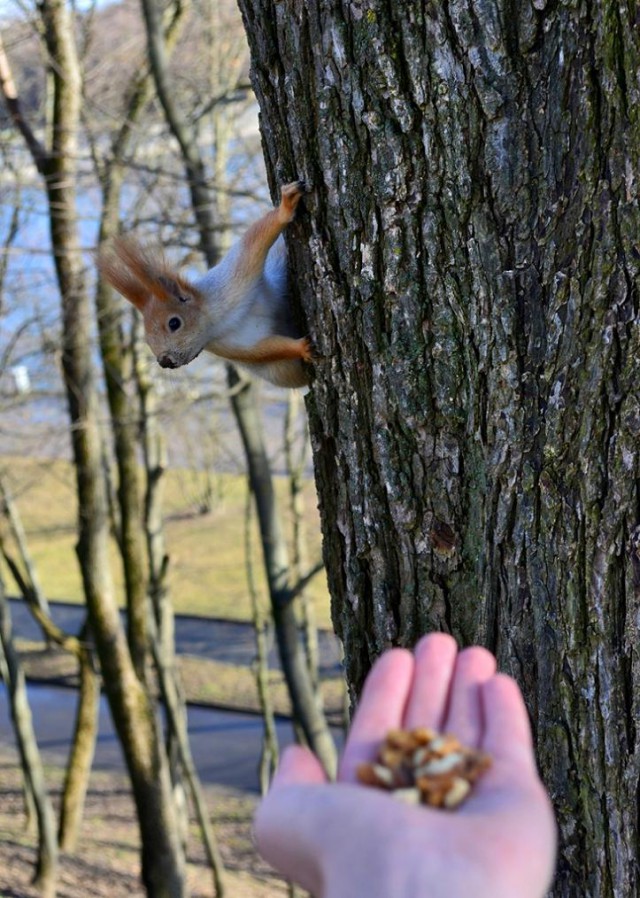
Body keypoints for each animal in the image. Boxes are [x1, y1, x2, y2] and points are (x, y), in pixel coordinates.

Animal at [97, 180, 312, 386]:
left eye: (174, 323)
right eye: (147, 340)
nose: (165, 362)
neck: (218, 321)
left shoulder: (236, 274)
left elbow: (257, 236)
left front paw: (285, 208)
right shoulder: (229, 345)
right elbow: (267, 351)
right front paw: (303, 348)